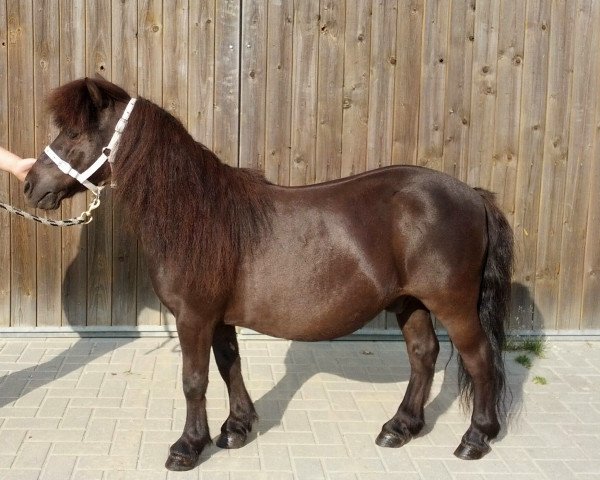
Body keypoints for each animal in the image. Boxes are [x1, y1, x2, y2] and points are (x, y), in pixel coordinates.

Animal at [22, 77, 510, 470]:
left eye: (74, 132)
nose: (30, 185)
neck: (198, 214)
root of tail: (473, 195)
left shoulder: (194, 318)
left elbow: (194, 380)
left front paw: (187, 447)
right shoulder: (218, 319)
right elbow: (228, 366)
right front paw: (236, 427)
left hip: (453, 303)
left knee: (478, 358)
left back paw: (476, 438)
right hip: (410, 302)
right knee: (423, 355)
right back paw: (400, 427)